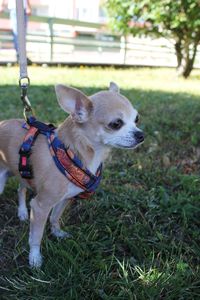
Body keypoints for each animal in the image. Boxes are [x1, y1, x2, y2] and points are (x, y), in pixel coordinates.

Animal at [0, 82, 144, 268]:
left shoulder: (65, 199)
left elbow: (55, 217)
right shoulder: (41, 206)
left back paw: (23, 212)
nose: (141, 135)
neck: (73, 154)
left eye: (136, 119)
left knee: (21, 189)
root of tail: (2, 123)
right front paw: (35, 258)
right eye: (115, 124)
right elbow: (36, 235)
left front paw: (57, 233)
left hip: (23, 171)